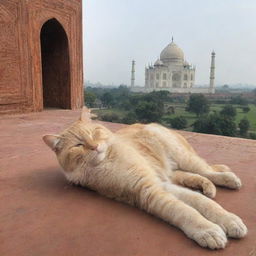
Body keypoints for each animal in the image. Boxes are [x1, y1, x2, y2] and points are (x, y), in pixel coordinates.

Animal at [43, 106, 247, 250]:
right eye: (78, 145)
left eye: (94, 133)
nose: (95, 147)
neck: (108, 162)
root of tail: (149, 124)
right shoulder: (154, 190)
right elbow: (186, 210)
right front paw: (208, 230)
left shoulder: (157, 184)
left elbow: (206, 204)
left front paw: (229, 220)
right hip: (170, 172)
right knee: (191, 176)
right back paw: (206, 186)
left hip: (184, 157)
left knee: (208, 170)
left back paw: (228, 179)